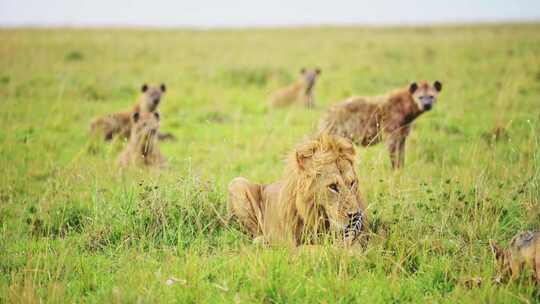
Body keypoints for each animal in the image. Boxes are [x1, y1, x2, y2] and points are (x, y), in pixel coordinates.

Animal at [226, 133, 370, 247]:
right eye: (333, 186)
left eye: (352, 183)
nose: (355, 215)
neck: (316, 213)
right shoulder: (290, 245)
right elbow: (313, 249)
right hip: (237, 183)